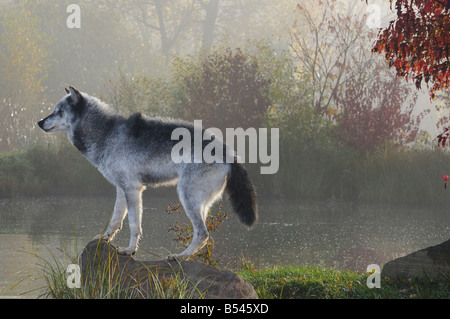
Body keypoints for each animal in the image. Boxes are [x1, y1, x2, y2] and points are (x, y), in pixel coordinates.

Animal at [37, 87, 258, 260]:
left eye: (59, 111)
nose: (39, 122)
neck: (106, 132)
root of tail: (229, 153)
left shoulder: (133, 190)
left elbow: (134, 224)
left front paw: (129, 250)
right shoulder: (121, 189)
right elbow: (115, 220)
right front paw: (104, 239)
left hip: (187, 197)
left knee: (202, 233)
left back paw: (179, 257)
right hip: (200, 203)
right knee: (202, 234)